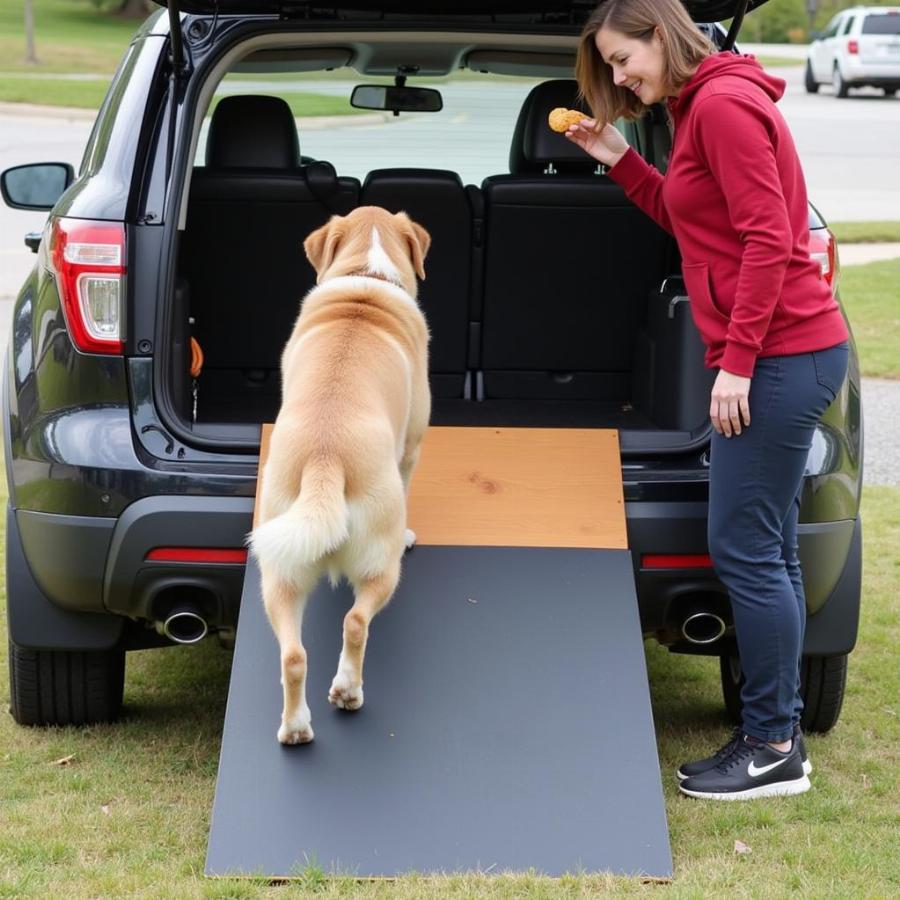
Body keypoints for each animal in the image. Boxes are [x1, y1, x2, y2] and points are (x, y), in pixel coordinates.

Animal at [246, 206, 428, 744]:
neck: (367, 277)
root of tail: (325, 461)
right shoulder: (412, 445)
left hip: (278, 571)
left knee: (293, 655)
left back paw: (295, 728)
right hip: (381, 565)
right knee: (355, 622)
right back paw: (348, 691)